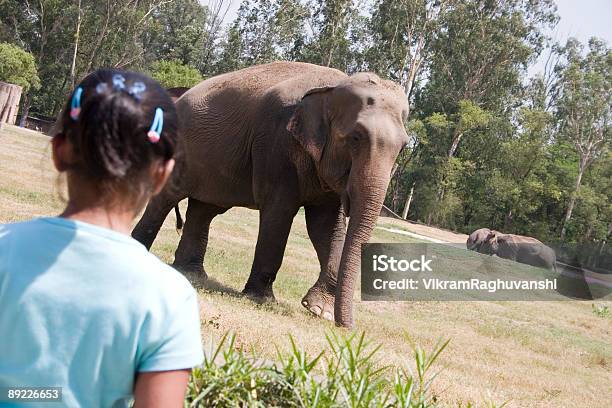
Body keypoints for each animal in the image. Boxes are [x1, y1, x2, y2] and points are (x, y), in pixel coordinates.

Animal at [134, 61, 412, 328]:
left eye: (402, 147)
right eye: (355, 137)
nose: (346, 328)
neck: (333, 87)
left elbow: (326, 227)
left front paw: (318, 310)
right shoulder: (276, 144)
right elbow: (279, 212)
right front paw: (261, 298)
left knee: (205, 208)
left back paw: (191, 273)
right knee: (166, 200)